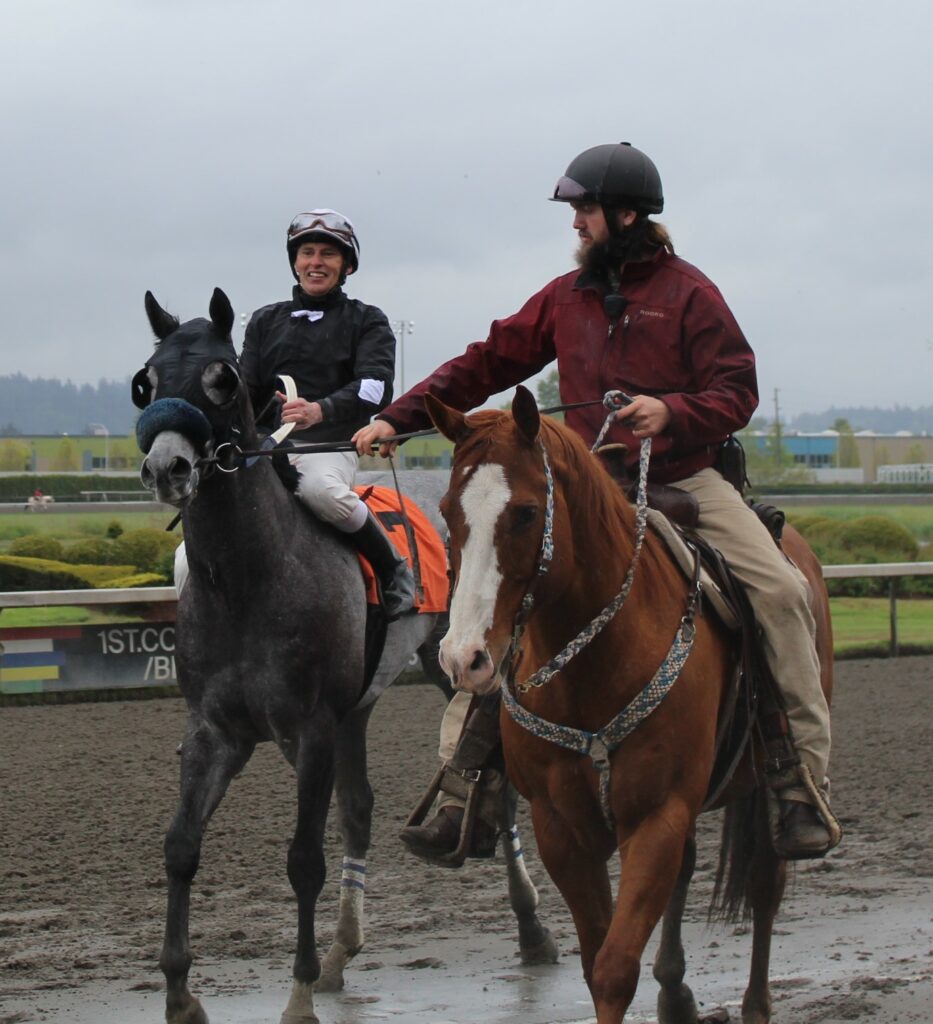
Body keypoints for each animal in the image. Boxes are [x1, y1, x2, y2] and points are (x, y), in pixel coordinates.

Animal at [133, 288, 553, 1024]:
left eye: (222, 378)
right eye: (147, 380)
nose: (167, 468)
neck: (247, 577)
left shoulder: (312, 728)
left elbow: (304, 858)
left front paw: (298, 992)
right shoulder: (218, 729)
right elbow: (181, 845)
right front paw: (182, 993)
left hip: (451, 666)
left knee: (496, 791)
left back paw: (531, 928)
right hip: (360, 706)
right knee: (359, 809)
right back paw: (340, 952)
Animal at [426, 385, 835, 1024]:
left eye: (524, 512)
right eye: (447, 511)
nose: (463, 658)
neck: (594, 666)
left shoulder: (657, 815)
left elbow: (616, 968)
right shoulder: (562, 827)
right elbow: (597, 962)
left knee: (766, 884)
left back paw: (754, 1002)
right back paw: (675, 993)